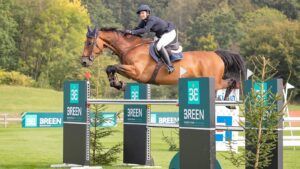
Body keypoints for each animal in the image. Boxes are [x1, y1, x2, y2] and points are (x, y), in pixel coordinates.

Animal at [81, 27, 245, 99]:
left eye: (89, 43)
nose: (84, 61)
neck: (131, 47)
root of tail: (215, 54)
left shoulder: (136, 72)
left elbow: (112, 66)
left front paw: (118, 83)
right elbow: (110, 68)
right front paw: (117, 83)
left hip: (215, 81)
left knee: (232, 82)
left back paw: (228, 101)